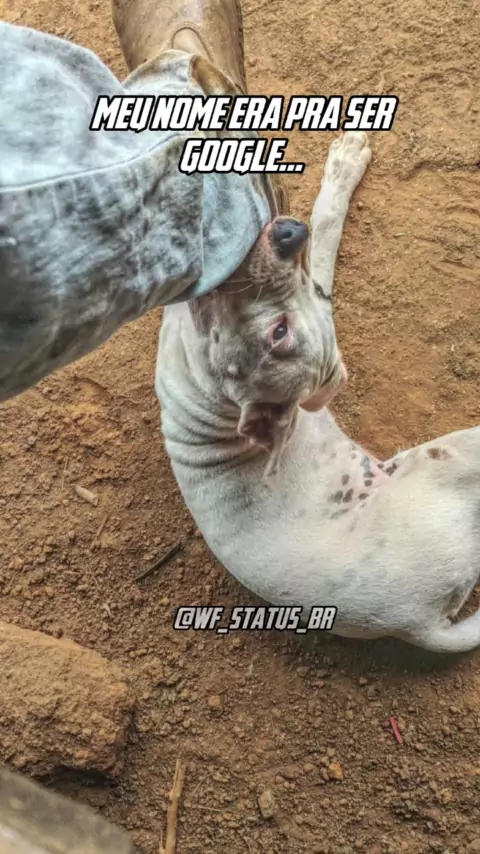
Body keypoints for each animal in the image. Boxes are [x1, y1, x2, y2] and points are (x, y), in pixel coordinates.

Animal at [155, 131, 480, 654]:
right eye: (278, 332)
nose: (291, 235)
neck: (204, 384)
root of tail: (423, 624)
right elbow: (325, 228)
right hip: (453, 456)